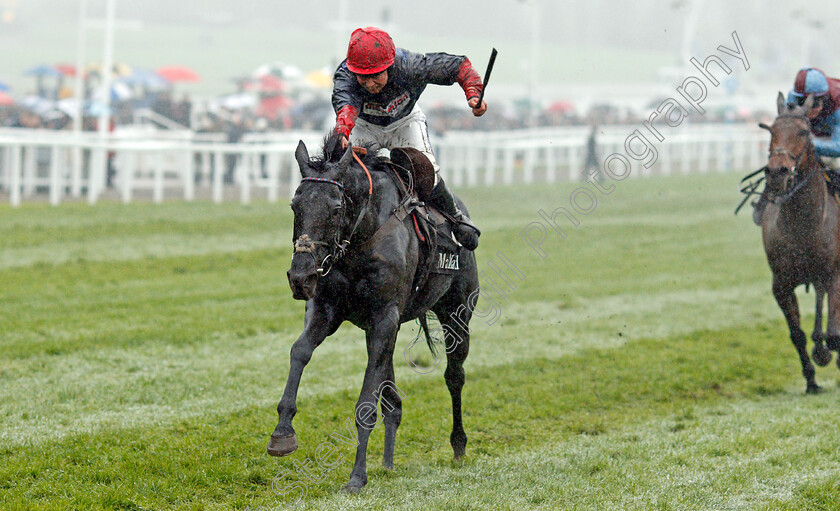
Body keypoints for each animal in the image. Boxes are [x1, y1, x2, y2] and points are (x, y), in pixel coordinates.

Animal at [270, 134, 480, 494]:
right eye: (295, 205)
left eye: (335, 207)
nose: (300, 277)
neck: (363, 235)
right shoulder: (330, 310)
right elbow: (300, 351)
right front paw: (283, 432)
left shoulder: (385, 317)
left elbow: (367, 402)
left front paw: (357, 476)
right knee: (392, 397)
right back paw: (388, 461)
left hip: (457, 312)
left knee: (454, 376)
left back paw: (458, 445)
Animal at [760, 92, 840, 394]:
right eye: (771, 130)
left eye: (804, 132)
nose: (777, 172)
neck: (802, 225)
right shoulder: (781, 284)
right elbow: (797, 334)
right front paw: (811, 381)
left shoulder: (833, 273)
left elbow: (834, 333)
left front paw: (828, 354)